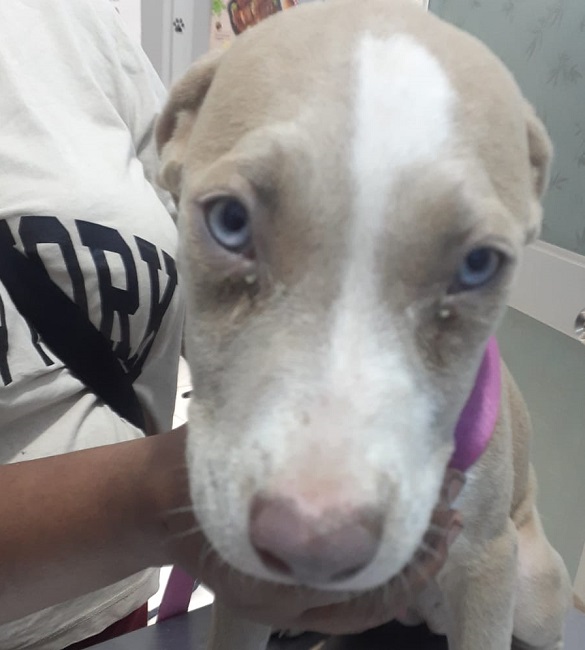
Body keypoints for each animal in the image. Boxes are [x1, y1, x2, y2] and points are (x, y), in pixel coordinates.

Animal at [155, 1, 572, 648]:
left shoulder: (487, 563)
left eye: (479, 265)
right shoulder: (246, 591)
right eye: (229, 221)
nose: (315, 543)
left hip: (531, 585)